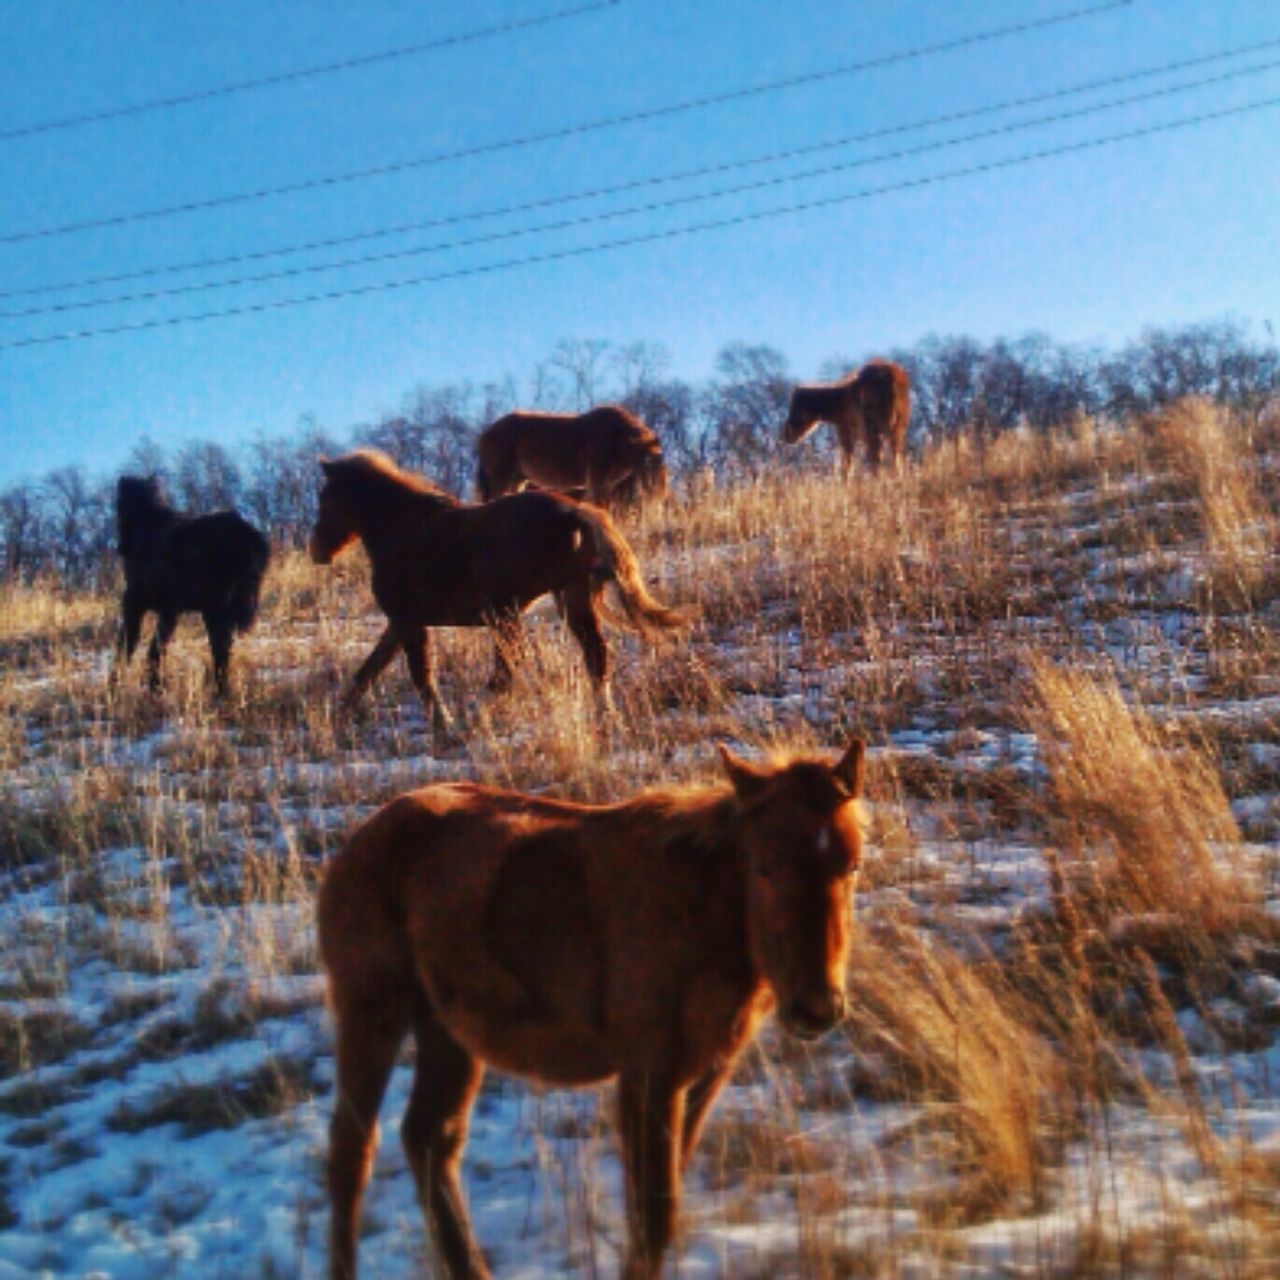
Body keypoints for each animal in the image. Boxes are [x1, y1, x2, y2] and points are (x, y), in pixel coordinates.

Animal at [112, 478, 270, 701]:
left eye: (120, 506)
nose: (120, 548)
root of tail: (248, 537)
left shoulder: (137, 603)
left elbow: (131, 645)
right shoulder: (169, 611)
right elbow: (155, 647)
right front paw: (155, 686)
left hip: (215, 608)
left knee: (220, 647)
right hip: (222, 607)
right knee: (222, 649)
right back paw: (221, 691)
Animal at [308, 453, 686, 732]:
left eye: (326, 498)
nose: (316, 550)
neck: (404, 530)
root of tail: (573, 510)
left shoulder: (407, 620)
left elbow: (420, 674)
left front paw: (443, 724)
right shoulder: (398, 624)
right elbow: (368, 671)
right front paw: (337, 714)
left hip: (504, 610)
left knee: (511, 662)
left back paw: (478, 714)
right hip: (569, 598)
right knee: (594, 653)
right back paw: (605, 714)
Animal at [317, 742, 870, 1280]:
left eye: (852, 865)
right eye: (765, 867)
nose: (817, 1008)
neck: (701, 910)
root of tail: (360, 841)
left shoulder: (705, 1072)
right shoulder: (649, 1075)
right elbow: (652, 1223)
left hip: (447, 1031)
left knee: (430, 1139)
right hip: (371, 1008)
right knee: (351, 1153)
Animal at [473, 407, 670, 512]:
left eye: (662, 463)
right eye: (647, 463)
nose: (660, 492)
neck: (619, 437)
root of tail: (484, 433)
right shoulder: (597, 481)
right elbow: (600, 506)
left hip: (517, 481)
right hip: (501, 479)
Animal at [778, 358, 911, 478]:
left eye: (796, 408)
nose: (785, 436)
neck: (839, 400)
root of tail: (893, 380)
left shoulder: (845, 430)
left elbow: (847, 461)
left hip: (872, 427)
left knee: (877, 456)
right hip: (897, 427)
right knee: (896, 455)